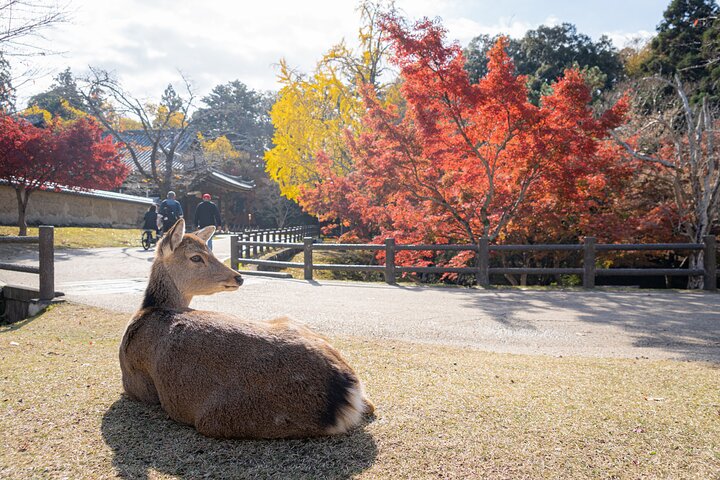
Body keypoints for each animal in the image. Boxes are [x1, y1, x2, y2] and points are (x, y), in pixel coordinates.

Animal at [119, 219, 374, 439]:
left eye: (210, 251)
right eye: (195, 257)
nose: (238, 277)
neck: (148, 311)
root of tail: (346, 389)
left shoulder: (135, 385)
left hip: (224, 418)